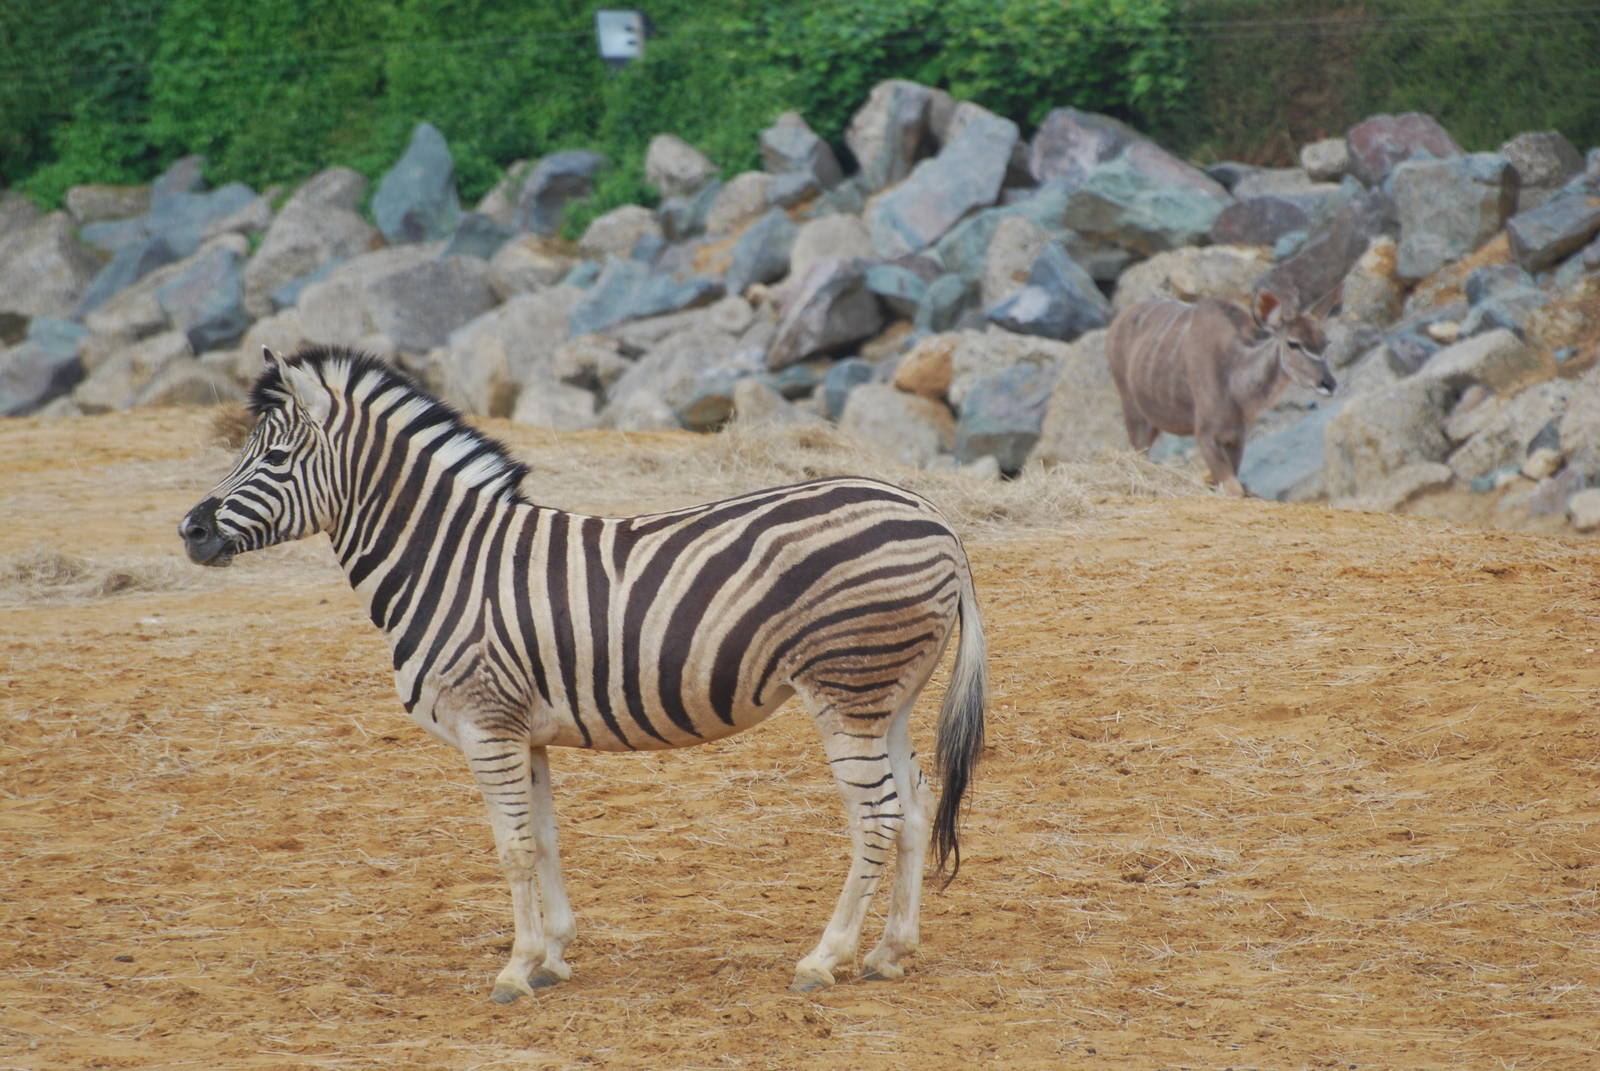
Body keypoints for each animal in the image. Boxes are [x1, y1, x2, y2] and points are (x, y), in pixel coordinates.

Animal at [179, 345, 988, 1001]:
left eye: (273, 459)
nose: (190, 530)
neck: (446, 561)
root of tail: (937, 519)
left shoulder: (487, 725)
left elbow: (510, 848)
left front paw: (515, 969)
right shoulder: (523, 732)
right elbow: (542, 839)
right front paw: (551, 957)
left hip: (846, 689)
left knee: (878, 814)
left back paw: (826, 958)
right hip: (889, 695)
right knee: (916, 804)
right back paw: (889, 953)